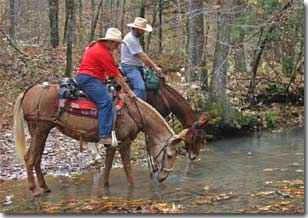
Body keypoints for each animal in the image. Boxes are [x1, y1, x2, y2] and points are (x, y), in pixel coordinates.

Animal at [13, 83, 188, 196]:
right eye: (170, 155)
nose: (163, 178)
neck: (133, 112)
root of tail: (30, 91)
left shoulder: (111, 145)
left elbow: (107, 169)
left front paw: (105, 189)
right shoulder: (124, 142)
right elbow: (128, 169)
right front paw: (131, 189)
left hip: (41, 131)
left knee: (36, 158)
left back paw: (45, 187)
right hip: (40, 130)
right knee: (30, 158)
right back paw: (34, 190)